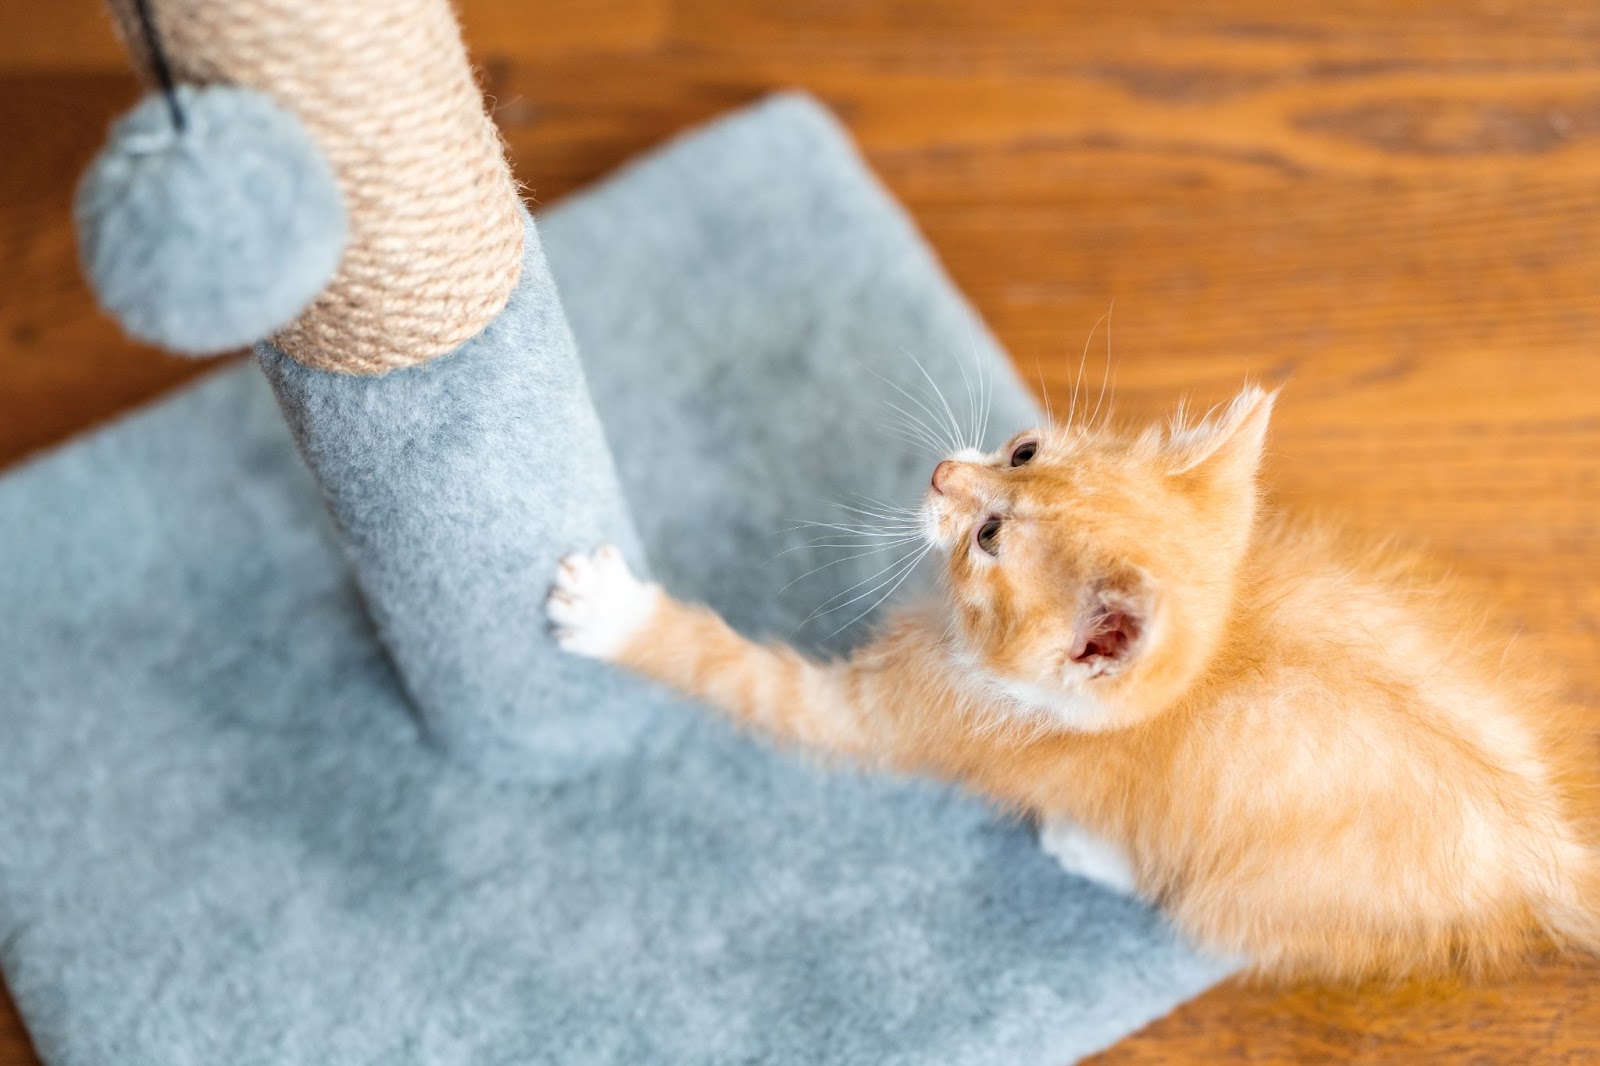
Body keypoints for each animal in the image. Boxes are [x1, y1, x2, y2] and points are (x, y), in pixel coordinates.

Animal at [544, 384, 1593, 979]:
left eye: (989, 537)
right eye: (1023, 452)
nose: (940, 472)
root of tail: (1541, 849)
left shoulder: (903, 720)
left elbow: (743, 679)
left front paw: (610, 613)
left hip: (1272, 891)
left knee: (1199, 906)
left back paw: (1088, 848)